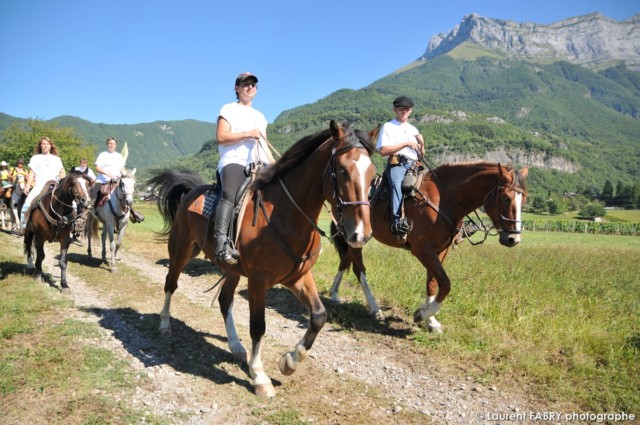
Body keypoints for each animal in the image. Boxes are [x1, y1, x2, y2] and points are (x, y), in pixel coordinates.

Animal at [149, 120, 380, 398]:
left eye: (373, 173)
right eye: (343, 171)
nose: (361, 234)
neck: (287, 215)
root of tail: (193, 190)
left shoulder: (298, 276)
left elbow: (319, 316)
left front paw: (289, 362)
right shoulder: (259, 281)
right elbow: (258, 326)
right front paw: (259, 376)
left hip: (232, 269)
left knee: (225, 300)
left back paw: (236, 346)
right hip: (181, 250)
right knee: (171, 284)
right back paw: (164, 325)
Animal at [328, 162, 528, 332]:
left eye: (524, 199)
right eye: (505, 198)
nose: (513, 239)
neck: (443, 200)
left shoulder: (440, 250)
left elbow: (432, 283)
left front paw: (431, 321)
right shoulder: (422, 251)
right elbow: (445, 283)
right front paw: (422, 314)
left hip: (356, 238)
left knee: (346, 261)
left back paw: (334, 294)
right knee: (359, 269)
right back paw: (375, 309)